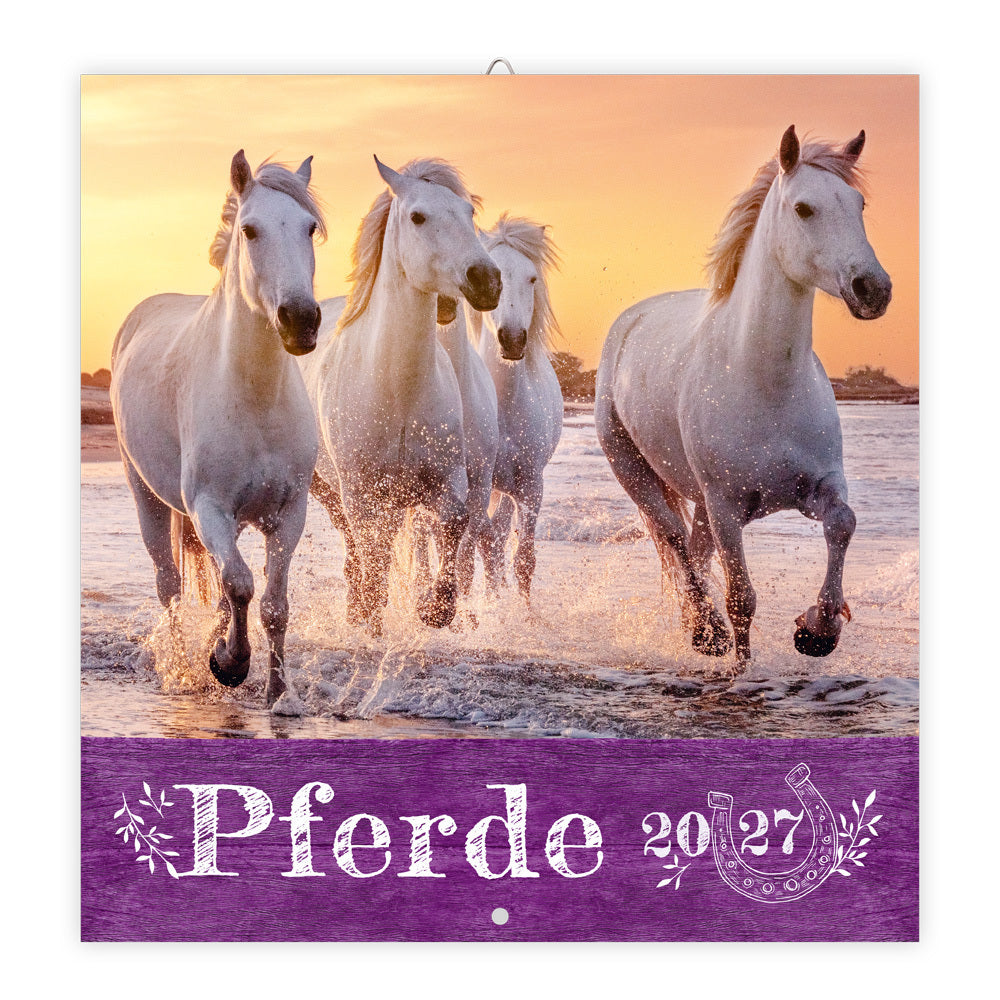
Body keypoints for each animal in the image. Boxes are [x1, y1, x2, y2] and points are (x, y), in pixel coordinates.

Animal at [111, 151, 325, 707]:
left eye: (309, 228)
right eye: (249, 230)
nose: (301, 320)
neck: (255, 397)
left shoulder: (288, 513)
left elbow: (271, 603)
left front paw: (277, 693)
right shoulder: (208, 507)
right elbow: (242, 585)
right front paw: (229, 664)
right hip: (147, 495)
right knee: (170, 585)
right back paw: (185, 667)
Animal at [297, 157, 501, 636]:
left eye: (469, 213)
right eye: (418, 217)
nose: (486, 280)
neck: (398, 391)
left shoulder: (448, 481)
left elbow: (454, 526)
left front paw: (435, 608)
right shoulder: (361, 493)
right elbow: (373, 559)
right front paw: (372, 620)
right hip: (330, 491)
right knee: (358, 552)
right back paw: (358, 613)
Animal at [595, 126, 892, 666]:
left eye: (858, 203)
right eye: (803, 208)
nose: (873, 289)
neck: (765, 383)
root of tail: (630, 320)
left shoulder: (818, 486)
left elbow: (843, 523)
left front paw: (818, 630)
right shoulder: (727, 506)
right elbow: (741, 599)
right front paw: (742, 664)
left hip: (700, 501)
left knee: (694, 549)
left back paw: (697, 627)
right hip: (635, 471)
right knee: (674, 540)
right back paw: (705, 631)